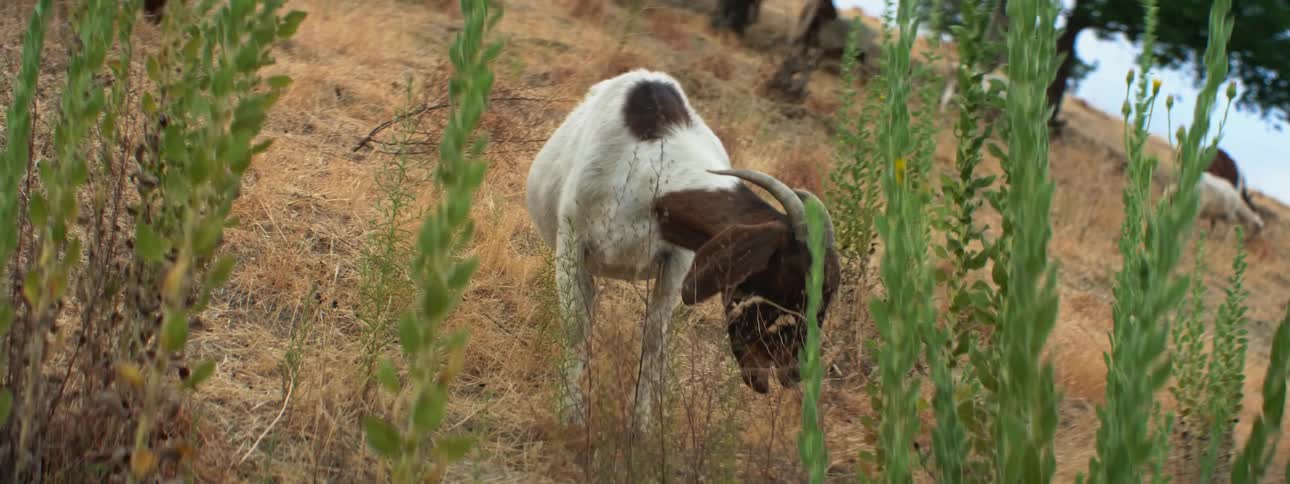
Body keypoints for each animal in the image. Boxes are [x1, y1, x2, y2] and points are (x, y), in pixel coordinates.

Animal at [525, 69, 841, 426]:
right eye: (794, 285)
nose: (794, 371)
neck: (646, 171)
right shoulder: (571, 244)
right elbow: (577, 328)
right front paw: (571, 416)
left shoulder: (677, 263)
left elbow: (654, 341)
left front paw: (641, 425)